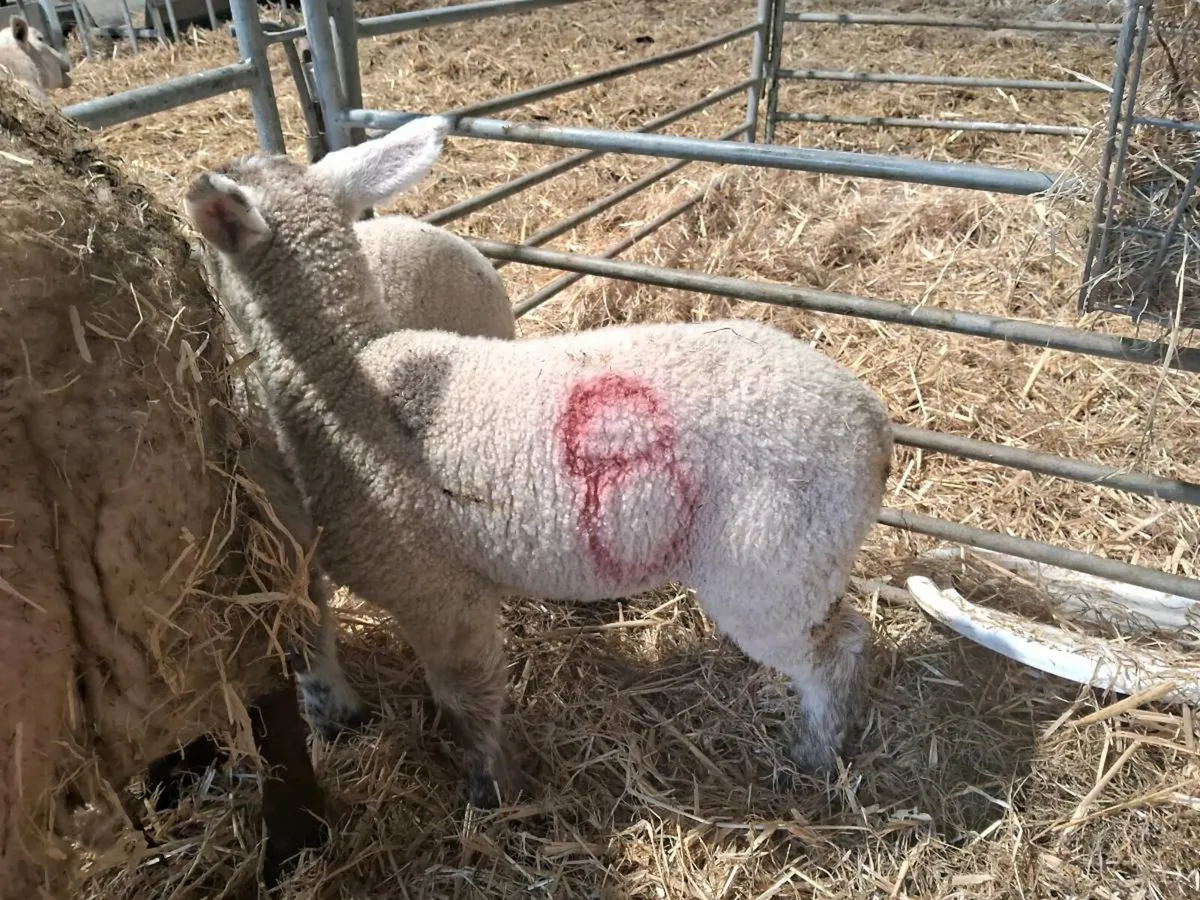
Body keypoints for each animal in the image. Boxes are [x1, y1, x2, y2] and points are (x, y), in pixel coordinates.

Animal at [183, 115, 894, 809]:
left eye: (206, 253)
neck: (352, 376)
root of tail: (873, 422)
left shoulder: (438, 594)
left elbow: (465, 700)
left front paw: (492, 790)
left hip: (772, 565)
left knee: (833, 653)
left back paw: (814, 755)